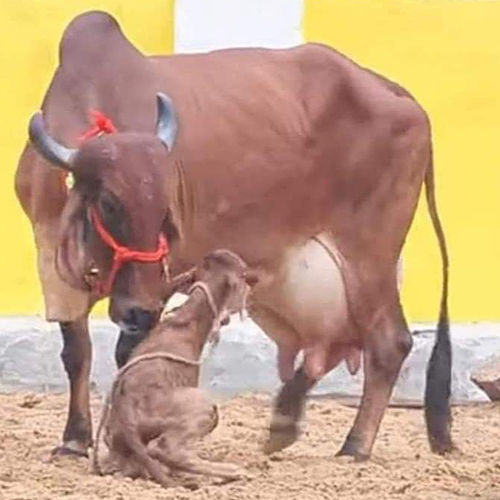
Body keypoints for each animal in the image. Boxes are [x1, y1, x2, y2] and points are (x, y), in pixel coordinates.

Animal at [15, 10, 454, 460]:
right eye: (108, 203)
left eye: (166, 210)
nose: (138, 311)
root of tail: (397, 93)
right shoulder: (52, 261)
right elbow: (77, 353)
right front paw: (74, 439)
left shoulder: (166, 276)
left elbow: (132, 354)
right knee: (331, 345)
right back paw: (284, 420)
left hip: (369, 254)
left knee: (389, 342)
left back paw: (354, 445)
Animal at [94, 252, 258, 486]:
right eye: (243, 274)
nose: (254, 283)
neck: (185, 322)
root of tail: (126, 412)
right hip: (203, 405)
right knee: (164, 449)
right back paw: (232, 471)